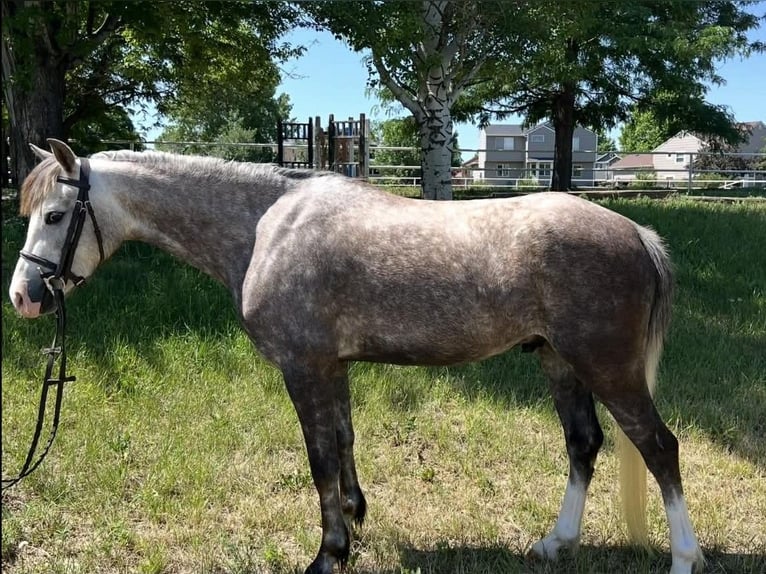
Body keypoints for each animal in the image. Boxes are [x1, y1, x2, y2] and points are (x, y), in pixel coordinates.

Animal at [8, 139, 704, 574]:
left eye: (56, 214)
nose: (23, 296)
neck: (265, 228)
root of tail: (635, 233)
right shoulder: (334, 367)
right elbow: (343, 441)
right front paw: (354, 518)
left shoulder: (304, 368)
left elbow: (319, 459)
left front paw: (329, 552)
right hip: (560, 363)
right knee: (584, 445)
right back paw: (555, 543)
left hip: (607, 369)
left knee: (659, 448)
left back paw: (684, 557)